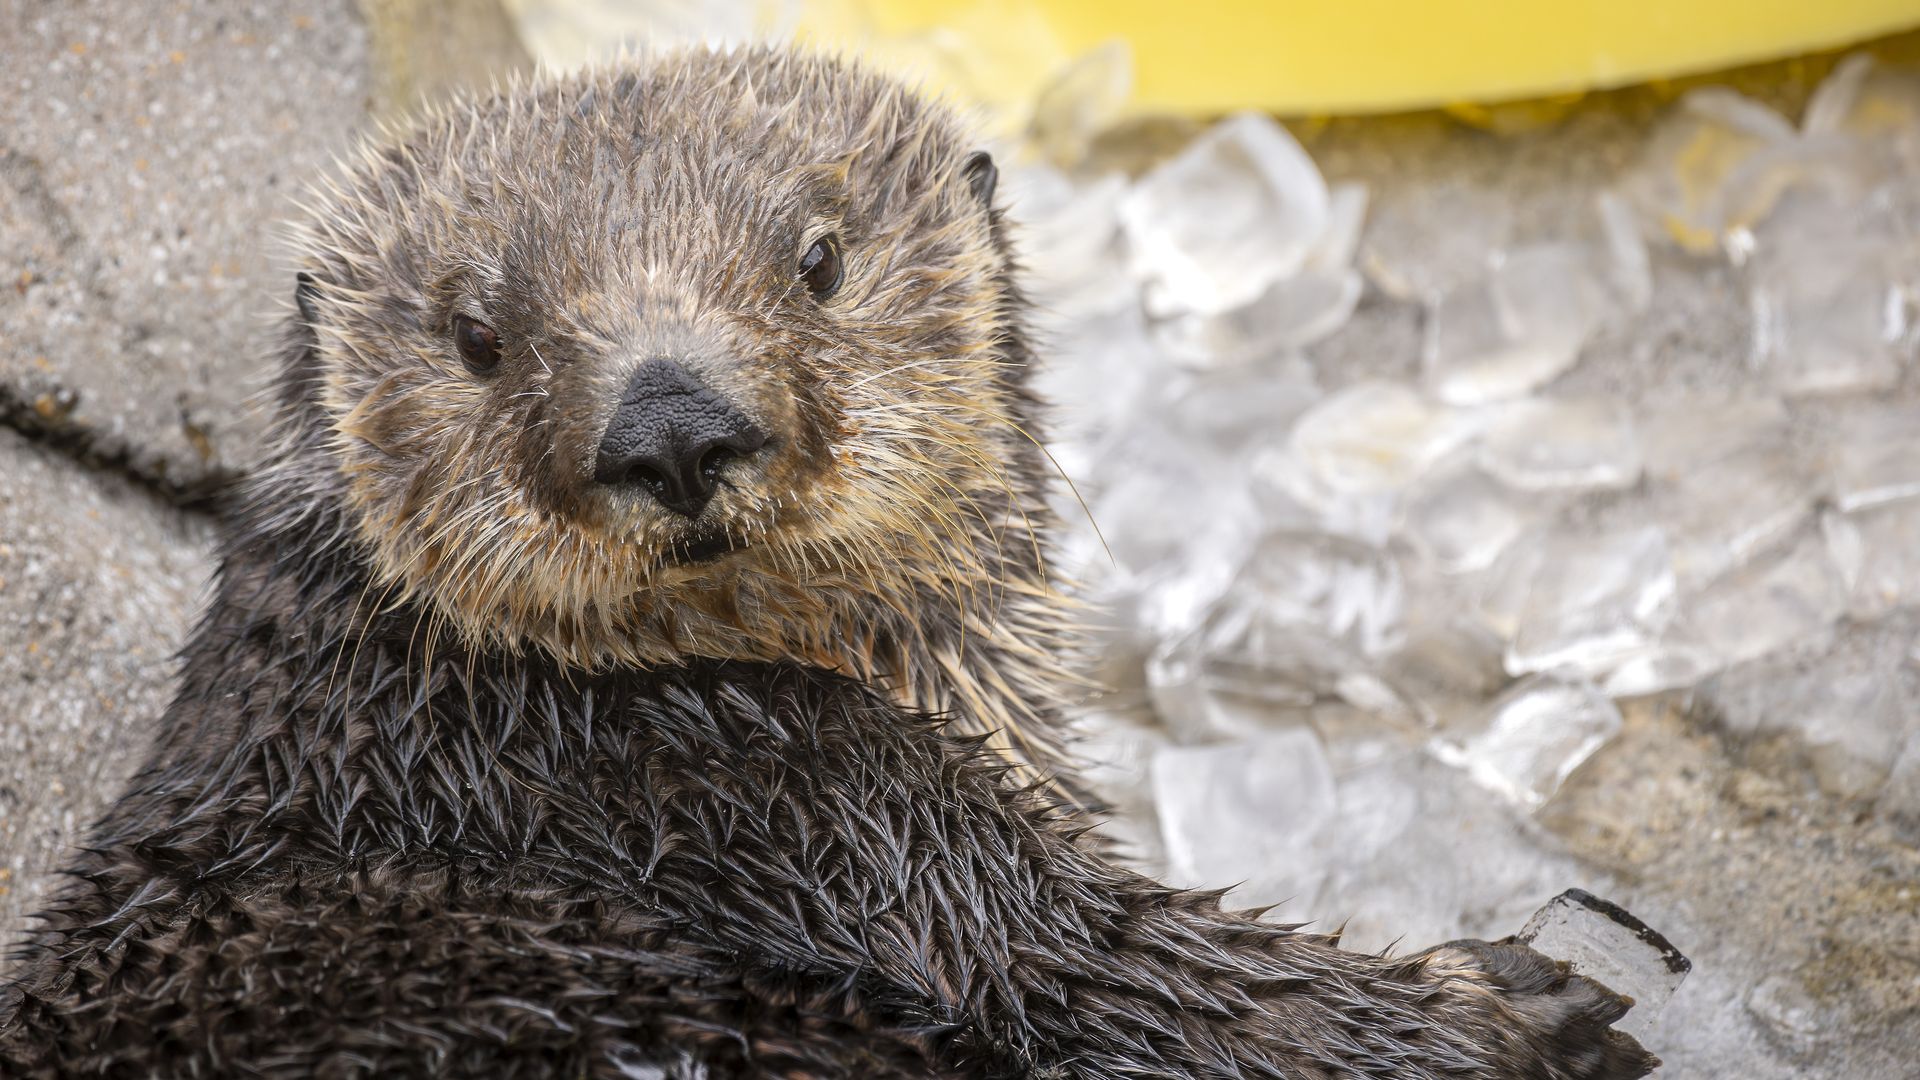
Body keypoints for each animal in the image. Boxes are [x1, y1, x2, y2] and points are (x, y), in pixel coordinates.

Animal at [0, 48, 1657, 1078]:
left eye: (818, 259)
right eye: (476, 335)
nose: (670, 422)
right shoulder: (817, 808)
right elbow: (1100, 972)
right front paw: (1511, 1007)